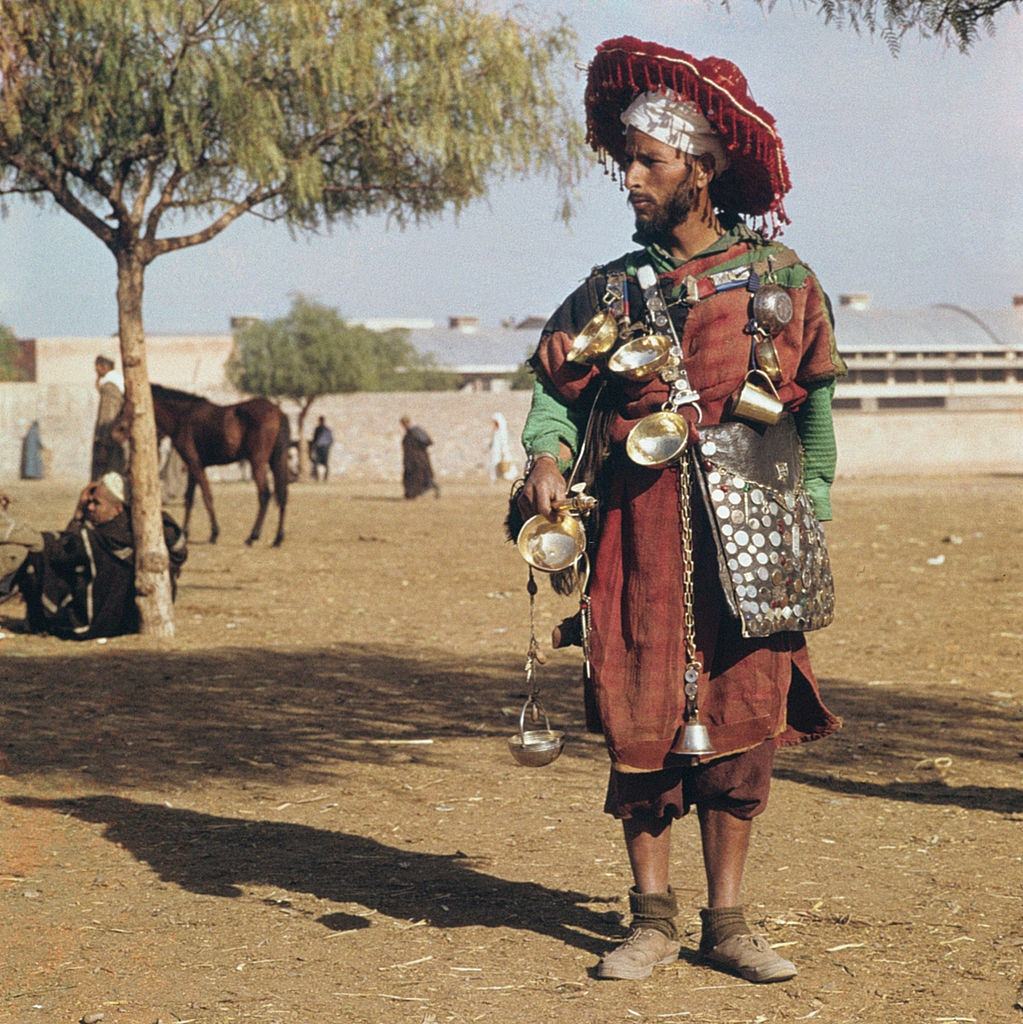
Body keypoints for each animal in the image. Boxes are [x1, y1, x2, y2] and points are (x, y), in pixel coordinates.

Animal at [117, 385, 290, 544]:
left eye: (128, 403)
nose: (117, 431)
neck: (183, 416)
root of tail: (278, 412)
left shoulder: (195, 465)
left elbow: (206, 496)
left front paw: (214, 534)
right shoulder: (192, 468)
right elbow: (190, 498)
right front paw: (186, 533)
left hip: (258, 463)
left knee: (265, 495)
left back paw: (252, 536)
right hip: (275, 461)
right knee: (282, 495)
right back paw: (278, 538)